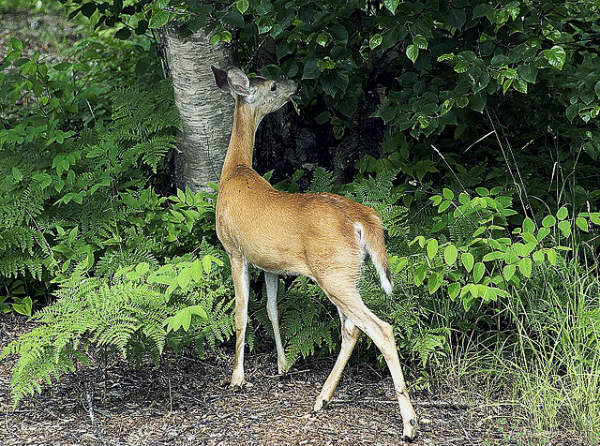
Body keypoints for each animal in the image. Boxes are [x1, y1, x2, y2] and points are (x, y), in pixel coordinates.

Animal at [213, 64, 420, 440]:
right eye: (273, 85)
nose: (295, 84)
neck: (235, 170)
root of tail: (363, 217)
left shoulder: (234, 249)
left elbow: (241, 312)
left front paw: (236, 379)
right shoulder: (269, 264)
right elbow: (272, 308)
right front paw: (282, 366)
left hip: (333, 273)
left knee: (379, 329)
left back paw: (409, 424)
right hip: (345, 274)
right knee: (351, 329)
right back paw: (322, 399)